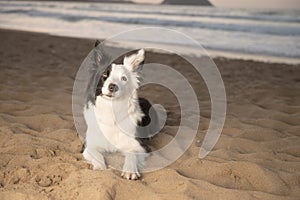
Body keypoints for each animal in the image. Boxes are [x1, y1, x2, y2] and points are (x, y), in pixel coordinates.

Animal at [82, 41, 157, 180]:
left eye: (124, 78)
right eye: (104, 75)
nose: (113, 86)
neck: (111, 110)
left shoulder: (140, 147)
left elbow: (131, 154)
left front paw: (130, 170)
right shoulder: (88, 145)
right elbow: (97, 154)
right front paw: (100, 167)